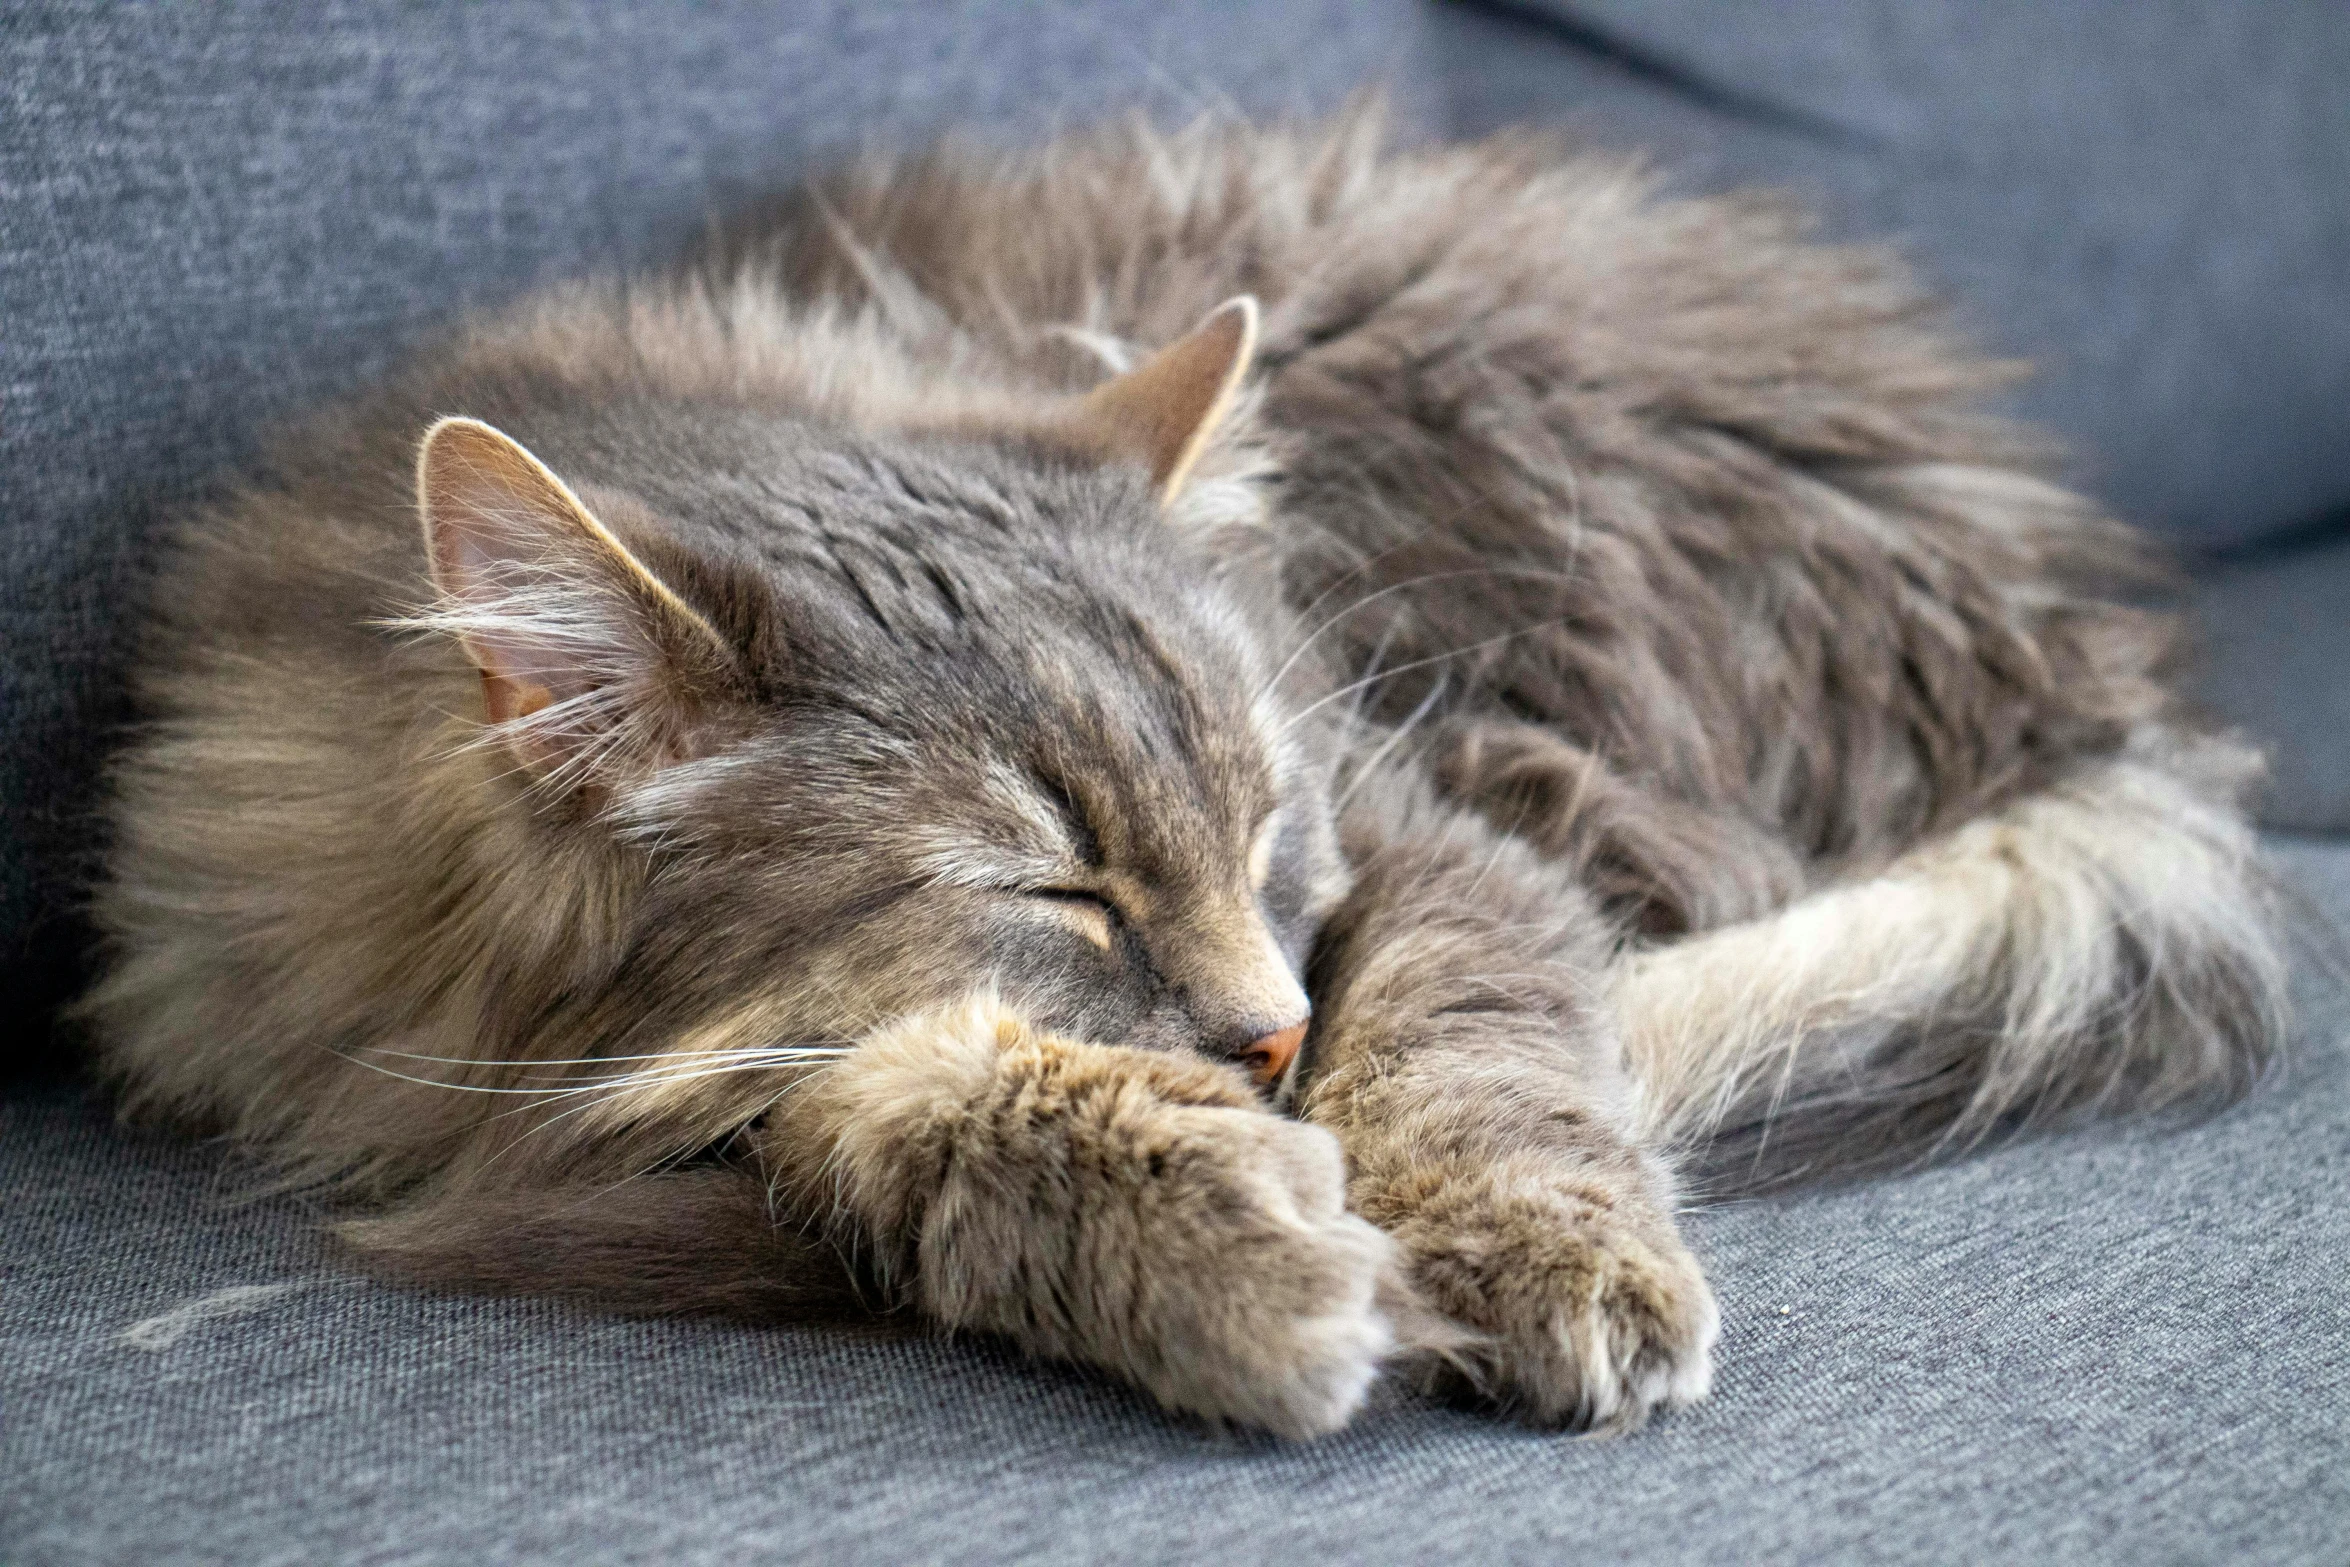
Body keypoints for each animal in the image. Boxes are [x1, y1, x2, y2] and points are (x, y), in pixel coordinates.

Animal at [86, 107, 2274, 1437]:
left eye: (1264, 825)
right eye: (1053, 889)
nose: (1272, 1036)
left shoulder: (1429, 841)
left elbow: (1474, 1046)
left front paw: (1538, 1256)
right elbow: (885, 1094)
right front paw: (1237, 1252)